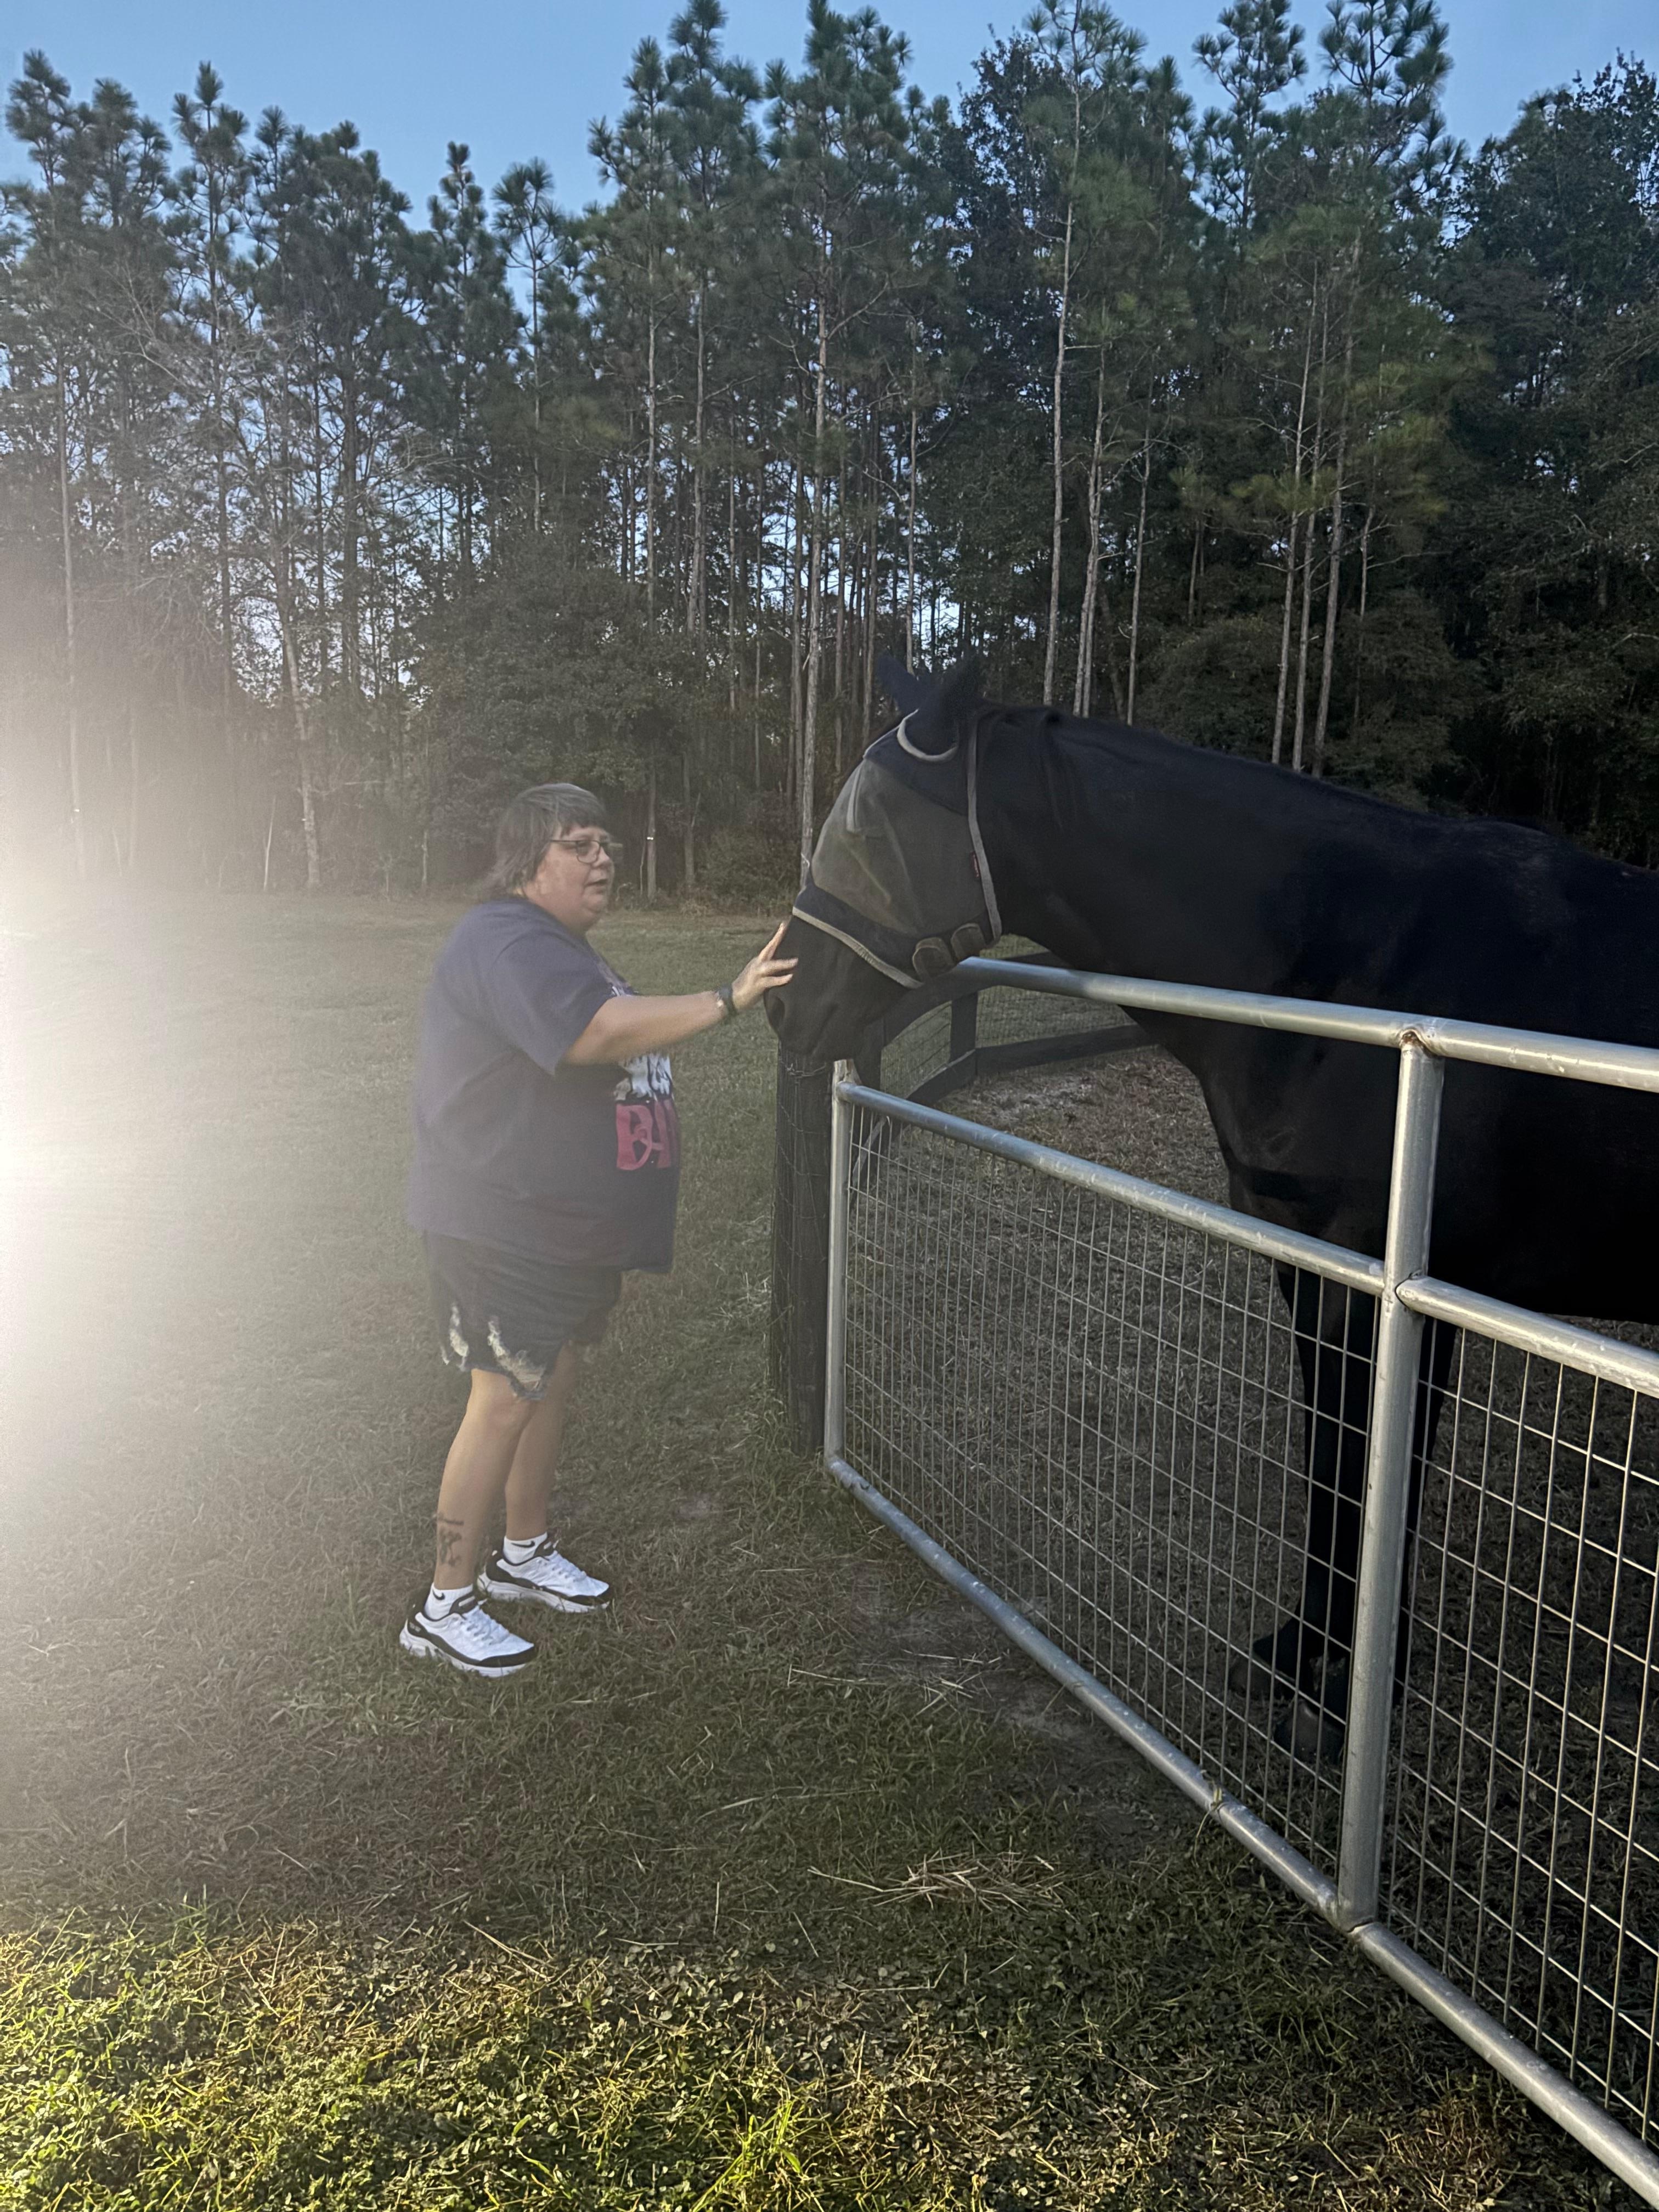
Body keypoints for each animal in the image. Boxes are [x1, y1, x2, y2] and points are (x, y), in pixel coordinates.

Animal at [767, 657, 1659, 1753]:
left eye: (870, 830)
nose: (781, 1000)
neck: (1356, 964)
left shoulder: (1383, 1289)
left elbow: (1360, 1468)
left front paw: (1342, 1685)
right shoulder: (1335, 1273)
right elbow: (1354, 1469)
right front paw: (1307, 1653)